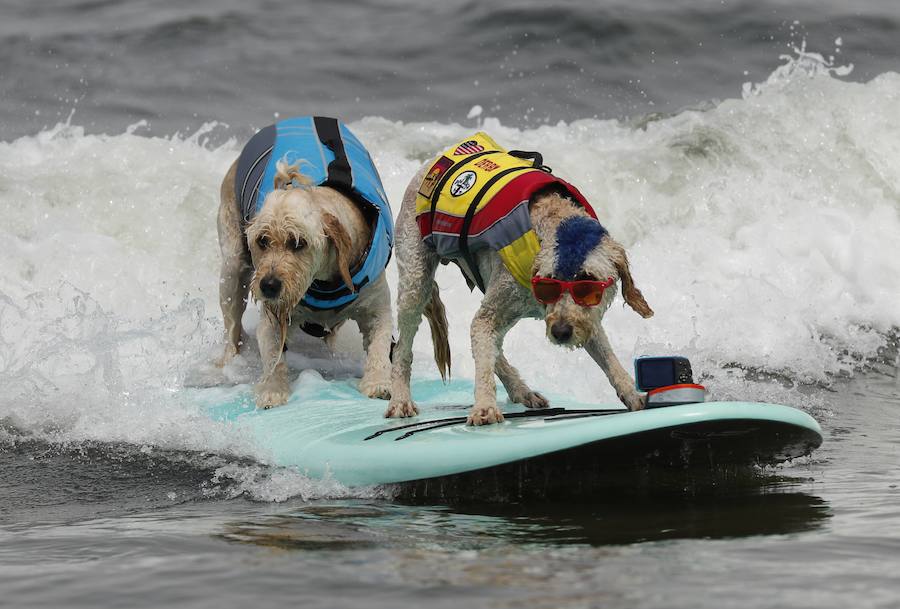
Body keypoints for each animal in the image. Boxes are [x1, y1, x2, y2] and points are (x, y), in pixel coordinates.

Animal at [217, 116, 394, 406]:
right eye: (262, 240)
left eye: (299, 242)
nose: (268, 285)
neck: (326, 282)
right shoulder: (271, 319)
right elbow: (273, 356)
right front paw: (273, 389)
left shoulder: (376, 308)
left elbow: (379, 345)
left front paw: (379, 382)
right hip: (231, 269)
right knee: (232, 326)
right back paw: (227, 363)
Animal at [386, 133, 652, 426]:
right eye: (549, 281)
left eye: (587, 282)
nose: (560, 332)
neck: (553, 225)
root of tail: (429, 164)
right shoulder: (494, 310)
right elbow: (482, 350)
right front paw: (484, 406)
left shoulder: (585, 319)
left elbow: (607, 357)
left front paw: (632, 393)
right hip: (415, 278)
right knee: (403, 347)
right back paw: (400, 399)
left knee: (493, 348)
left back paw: (520, 389)